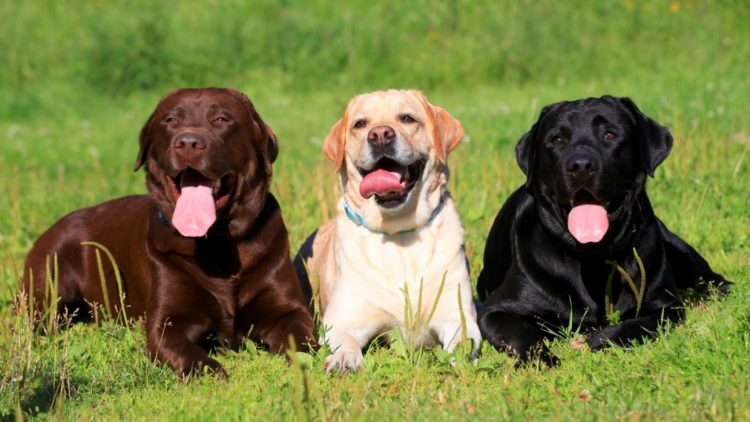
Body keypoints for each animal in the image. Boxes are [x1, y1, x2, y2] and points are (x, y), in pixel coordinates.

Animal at [20, 88, 314, 376]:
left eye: (221, 119)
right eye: (171, 120)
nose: (189, 143)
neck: (217, 243)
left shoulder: (289, 311)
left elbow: (303, 340)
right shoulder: (166, 323)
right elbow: (187, 352)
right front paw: (210, 369)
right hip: (44, 295)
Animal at [478, 95, 732, 360]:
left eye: (610, 134)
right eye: (556, 140)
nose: (580, 166)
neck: (593, 257)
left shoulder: (667, 306)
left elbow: (636, 324)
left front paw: (600, 339)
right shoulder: (495, 310)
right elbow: (524, 335)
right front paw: (544, 359)